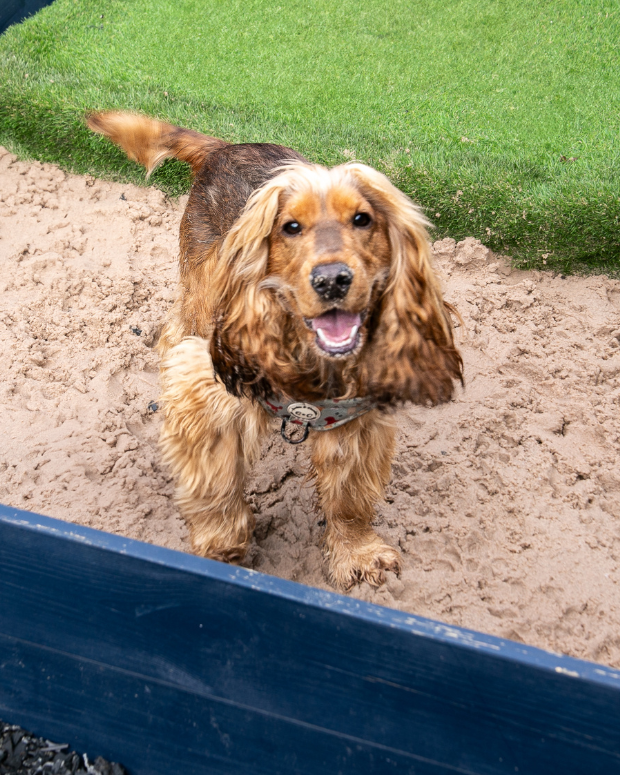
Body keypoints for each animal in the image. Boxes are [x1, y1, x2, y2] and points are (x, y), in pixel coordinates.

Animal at [89, 110, 462, 588]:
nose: (332, 280)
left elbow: (349, 500)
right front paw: (221, 551)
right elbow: (215, 490)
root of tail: (226, 147)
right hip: (200, 293)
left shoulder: (356, 422)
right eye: (291, 227)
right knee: (175, 331)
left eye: (362, 220)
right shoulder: (208, 395)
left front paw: (357, 553)